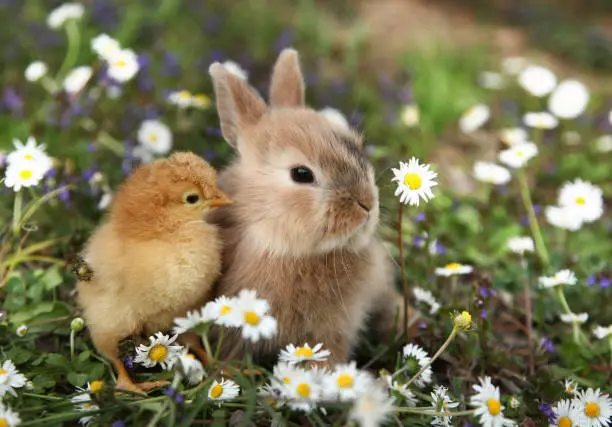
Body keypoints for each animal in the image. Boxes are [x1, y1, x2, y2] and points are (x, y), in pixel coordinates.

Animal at [76, 151, 230, 394]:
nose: (223, 198)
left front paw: (224, 367)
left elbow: (196, 343)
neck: (169, 237)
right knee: (114, 356)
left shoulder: (188, 311)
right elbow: (115, 357)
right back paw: (131, 386)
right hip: (109, 322)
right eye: (192, 198)